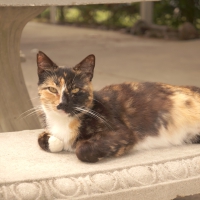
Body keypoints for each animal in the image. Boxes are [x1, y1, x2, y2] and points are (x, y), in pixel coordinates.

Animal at [36, 51, 200, 162]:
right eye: (52, 89)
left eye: (75, 90)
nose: (62, 104)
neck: (63, 123)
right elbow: (41, 137)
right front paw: (56, 141)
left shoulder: (123, 133)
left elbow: (81, 149)